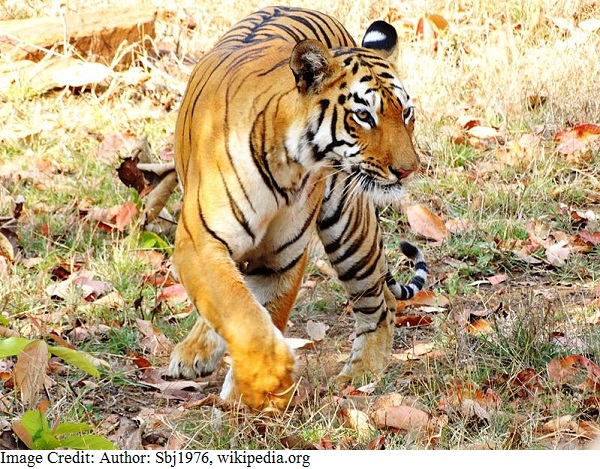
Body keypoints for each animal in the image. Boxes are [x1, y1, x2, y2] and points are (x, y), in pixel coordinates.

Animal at [169, 4, 426, 410]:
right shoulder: (201, 243)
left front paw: (256, 395)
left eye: (405, 113)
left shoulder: (280, 257)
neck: (289, 164)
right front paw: (269, 380)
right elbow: (241, 312)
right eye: (364, 116)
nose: (408, 169)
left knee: (380, 303)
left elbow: (264, 316)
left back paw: (360, 374)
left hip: (348, 224)